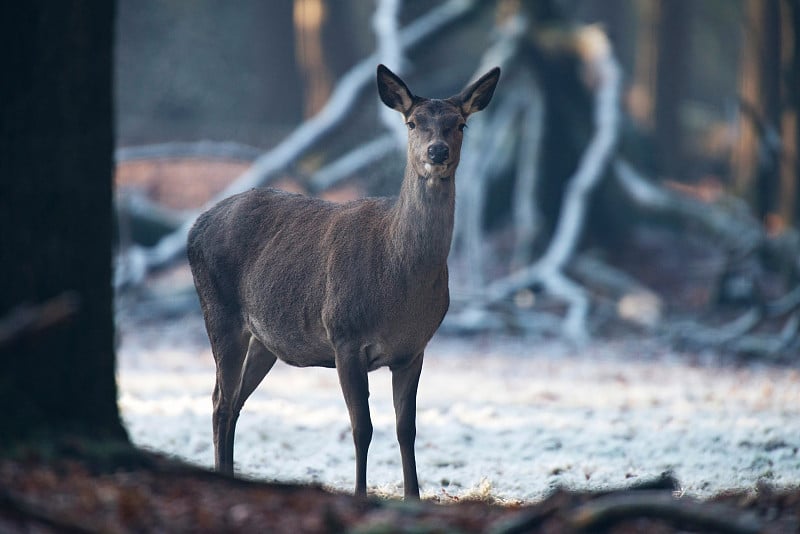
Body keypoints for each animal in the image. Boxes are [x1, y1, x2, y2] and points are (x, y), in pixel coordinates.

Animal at [188, 63, 500, 502]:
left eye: (460, 124)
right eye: (412, 122)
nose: (436, 151)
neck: (399, 286)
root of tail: (194, 226)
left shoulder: (414, 349)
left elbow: (407, 429)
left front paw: (413, 497)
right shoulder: (344, 337)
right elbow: (362, 427)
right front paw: (360, 494)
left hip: (264, 338)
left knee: (233, 402)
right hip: (218, 310)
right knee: (219, 399)